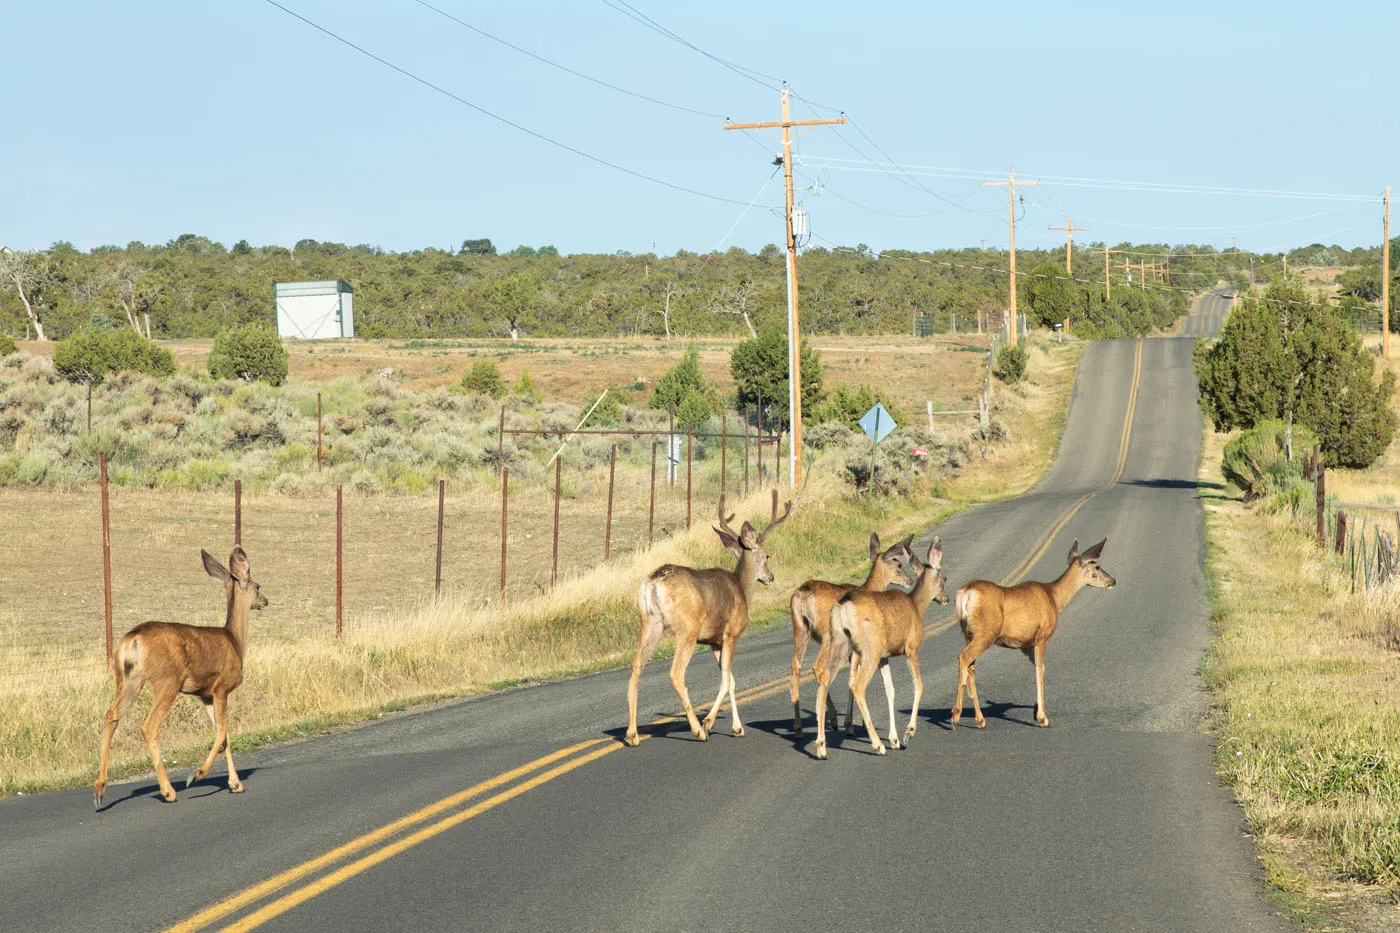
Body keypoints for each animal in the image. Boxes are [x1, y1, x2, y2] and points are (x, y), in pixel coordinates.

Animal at [95, 546, 267, 806]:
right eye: (257, 586)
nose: (265, 601)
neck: (235, 640)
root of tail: (133, 639)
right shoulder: (222, 687)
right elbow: (222, 733)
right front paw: (196, 775)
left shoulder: (205, 695)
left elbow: (224, 736)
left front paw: (235, 783)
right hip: (167, 681)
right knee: (148, 726)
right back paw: (168, 791)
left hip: (127, 680)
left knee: (111, 714)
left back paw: (100, 790)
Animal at [627, 490, 795, 745]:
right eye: (767, 556)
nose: (770, 577)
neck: (742, 589)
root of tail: (653, 583)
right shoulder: (731, 634)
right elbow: (726, 680)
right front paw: (709, 723)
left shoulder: (714, 641)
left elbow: (732, 681)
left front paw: (737, 727)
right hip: (687, 628)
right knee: (676, 673)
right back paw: (697, 730)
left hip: (650, 622)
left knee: (636, 665)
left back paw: (632, 734)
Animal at [795, 529, 912, 734]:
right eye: (898, 564)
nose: (909, 580)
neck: (869, 589)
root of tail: (803, 593)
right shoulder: (857, 649)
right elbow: (852, 680)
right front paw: (853, 724)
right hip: (827, 635)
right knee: (818, 668)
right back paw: (832, 718)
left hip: (800, 628)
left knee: (795, 666)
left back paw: (799, 727)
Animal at [812, 537, 952, 756]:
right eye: (944, 578)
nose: (946, 598)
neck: (915, 606)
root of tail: (844, 605)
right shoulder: (911, 647)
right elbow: (918, 684)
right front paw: (907, 733)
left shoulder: (885, 656)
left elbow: (890, 690)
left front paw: (894, 739)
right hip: (871, 648)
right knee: (857, 686)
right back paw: (877, 744)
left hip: (840, 642)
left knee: (824, 678)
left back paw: (821, 747)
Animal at [952, 537, 1114, 728]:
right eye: (1097, 566)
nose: (1113, 580)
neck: (1054, 598)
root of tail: (965, 592)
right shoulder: (1042, 636)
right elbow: (1039, 670)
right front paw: (1042, 717)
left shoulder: (1026, 644)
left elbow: (1041, 667)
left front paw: (1036, 710)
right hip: (986, 633)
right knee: (963, 657)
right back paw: (955, 715)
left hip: (968, 634)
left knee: (971, 667)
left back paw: (980, 719)